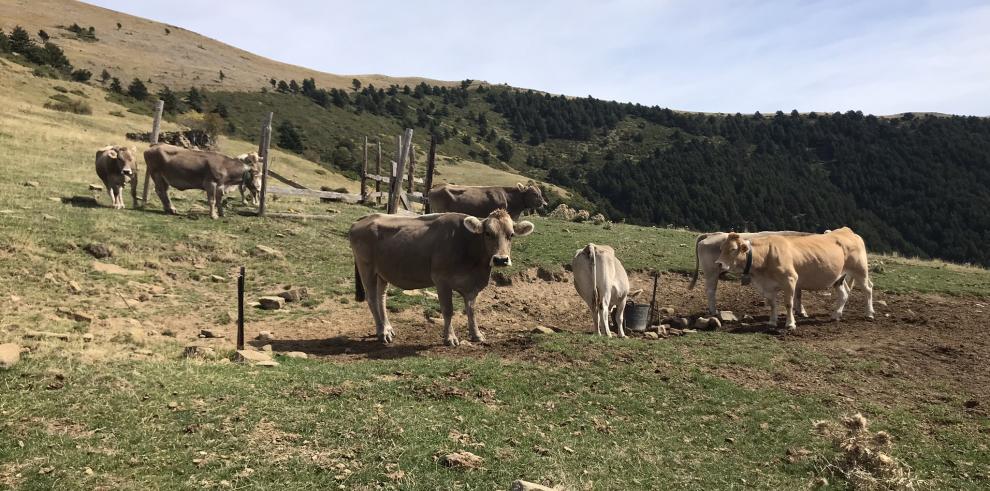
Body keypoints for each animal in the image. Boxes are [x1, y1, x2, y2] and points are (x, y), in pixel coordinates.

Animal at [348, 209, 536, 348]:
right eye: (488, 233)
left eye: (511, 235)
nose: (500, 259)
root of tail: (363, 219)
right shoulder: (441, 280)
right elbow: (448, 310)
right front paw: (450, 338)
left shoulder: (472, 285)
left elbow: (471, 309)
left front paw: (476, 334)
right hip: (366, 267)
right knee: (372, 298)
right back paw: (382, 332)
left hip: (382, 272)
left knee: (381, 297)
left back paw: (388, 328)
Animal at [712, 228, 876, 330]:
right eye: (720, 248)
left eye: (733, 249)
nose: (718, 263)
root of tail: (847, 231)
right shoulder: (768, 286)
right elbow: (772, 304)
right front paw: (772, 322)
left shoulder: (790, 280)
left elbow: (788, 304)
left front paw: (790, 324)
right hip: (838, 277)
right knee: (844, 293)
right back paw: (836, 315)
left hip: (860, 270)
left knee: (868, 289)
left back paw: (869, 313)